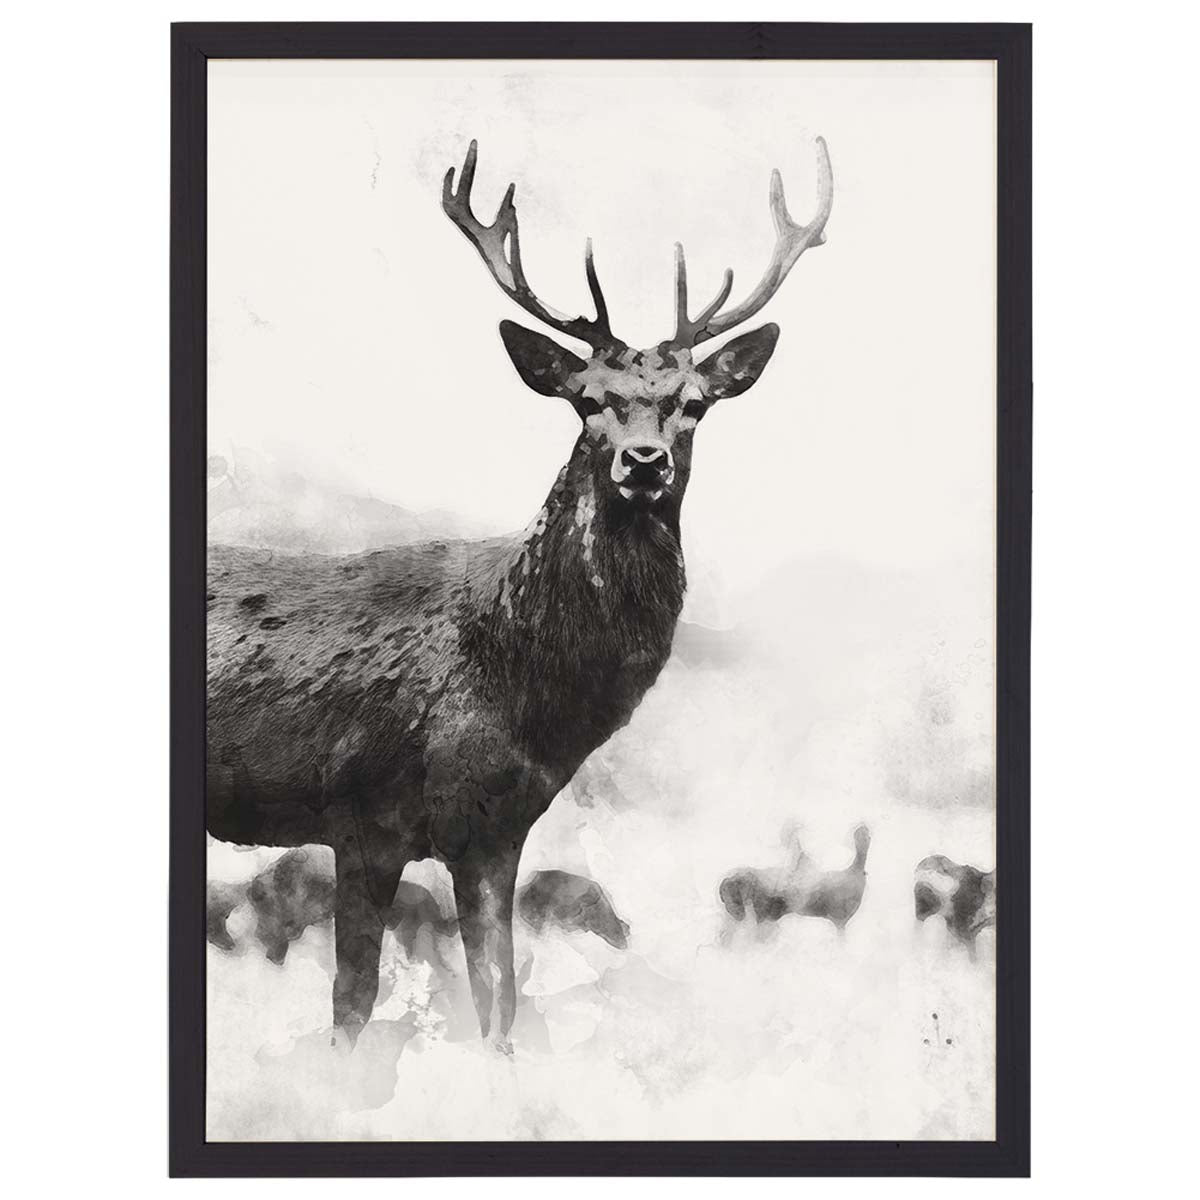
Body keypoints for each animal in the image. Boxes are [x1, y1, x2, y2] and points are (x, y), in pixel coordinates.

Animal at [206, 137, 833, 1053]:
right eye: (589, 400)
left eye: (693, 404)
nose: (643, 461)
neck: (514, 683)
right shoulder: (363, 814)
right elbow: (353, 1006)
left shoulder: (497, 834)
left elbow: (498, 1002)